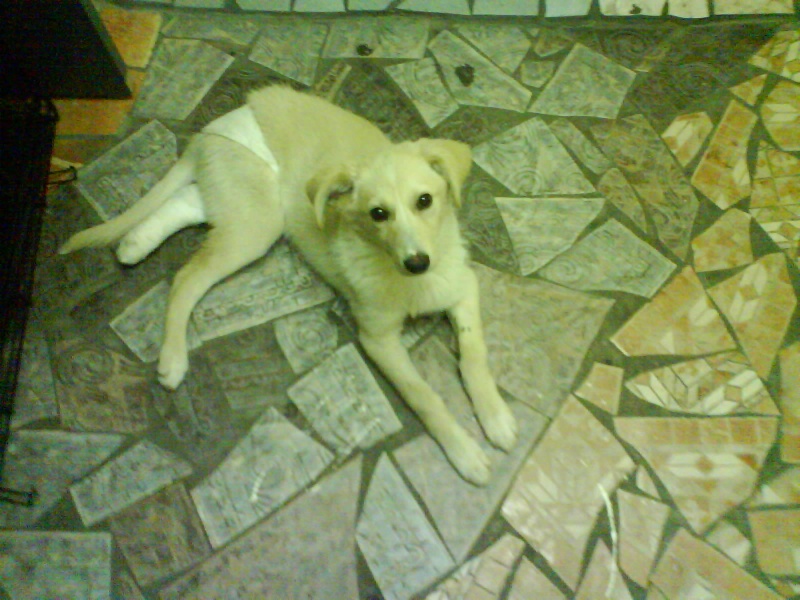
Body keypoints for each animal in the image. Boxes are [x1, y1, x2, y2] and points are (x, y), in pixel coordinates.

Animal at [60, 85, 518, 485]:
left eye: (425, 201)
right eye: (378, 214)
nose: (418, 262)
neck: (406, 279)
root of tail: (215, 129)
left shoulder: (463, 285)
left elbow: (474, 354)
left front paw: (495, 416)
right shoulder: (377, 337)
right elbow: (423, 395)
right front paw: (464, 452)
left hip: (240, 205)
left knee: (185, 204)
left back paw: (135, 244)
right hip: (257, 223)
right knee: (187, 276)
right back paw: (172, 357)